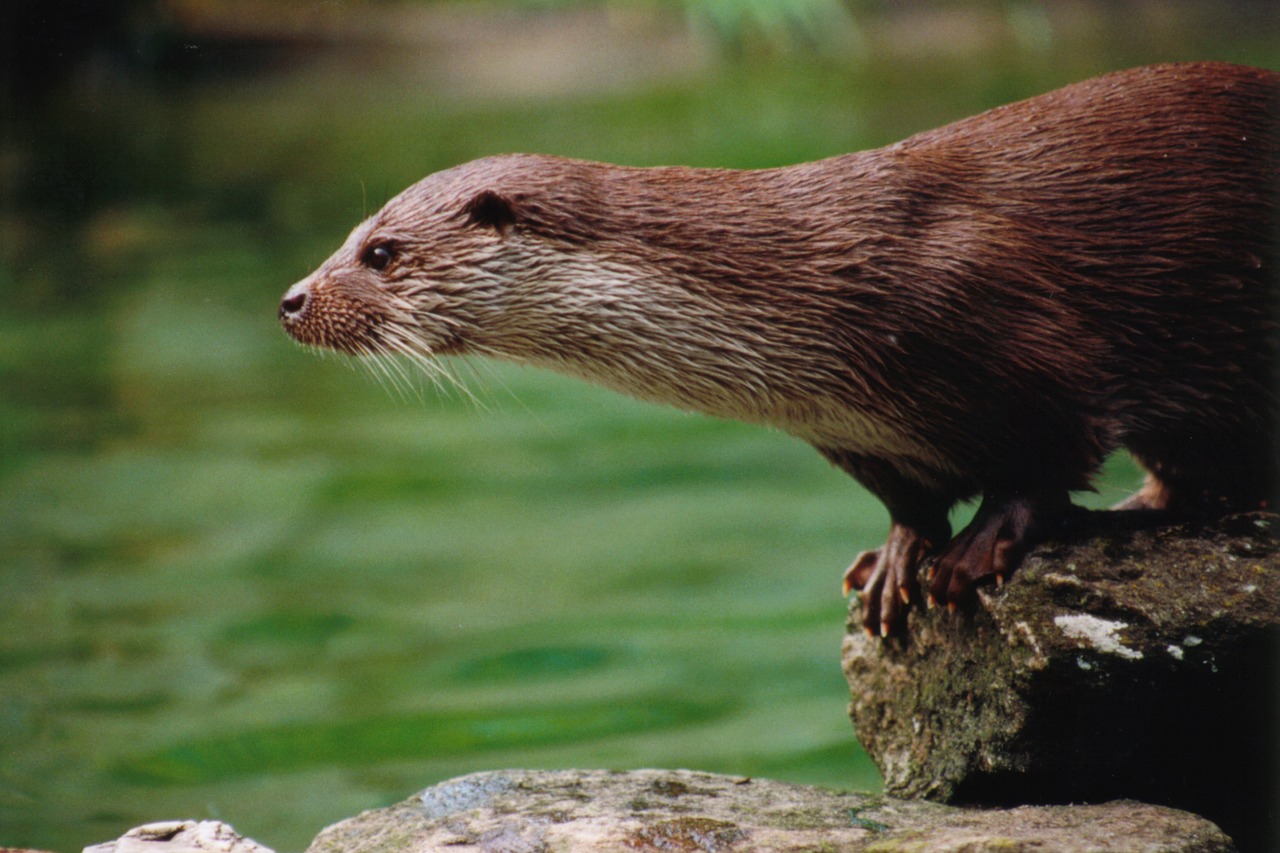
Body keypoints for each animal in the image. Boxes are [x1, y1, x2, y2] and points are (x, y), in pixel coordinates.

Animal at [280, 63, 1280, 637]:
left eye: (381, 251)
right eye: (348, 234)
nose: (291, 300)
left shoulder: (1017, 331)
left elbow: (1048, 460)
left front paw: (977, 549)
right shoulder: (848, 432)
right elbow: (911, 501)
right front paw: (895, 563)